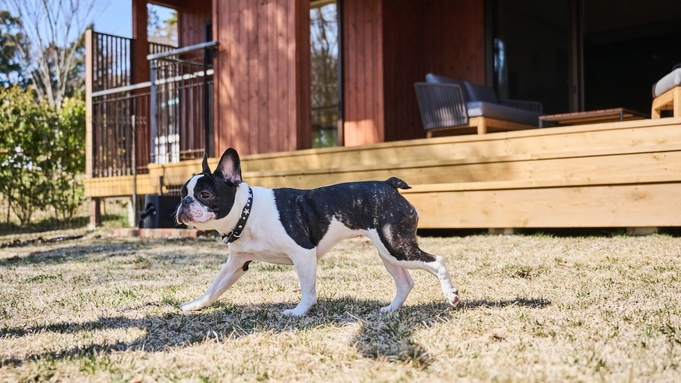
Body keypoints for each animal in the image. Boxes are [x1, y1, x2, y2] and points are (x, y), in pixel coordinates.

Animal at [177, 148, 462, 316]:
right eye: (182, 193)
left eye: (204, 194)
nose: (184, 203)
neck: (248, 211)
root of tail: (389, 185)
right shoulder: (236, 263)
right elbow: (214, 288)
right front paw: (195, 304)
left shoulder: (302, 253)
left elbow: (307, 288)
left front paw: (299, 311)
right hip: (388, 251)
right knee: (405, 282)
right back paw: (390, 309)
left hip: (395, 245)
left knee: (436, 261)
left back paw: (451, 295)